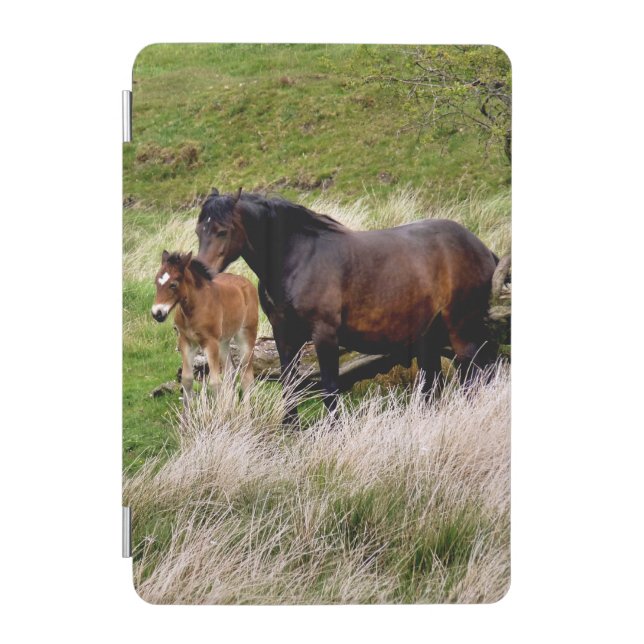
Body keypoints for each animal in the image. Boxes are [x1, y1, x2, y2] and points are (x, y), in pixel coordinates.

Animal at [151, 250, 259, 400]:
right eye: (156, 282)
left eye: (173, 284)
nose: (157, 313)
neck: (194, 309)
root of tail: (248, 283)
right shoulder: (186, 341)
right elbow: (187, 379)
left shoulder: (210, 342)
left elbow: (215, 383)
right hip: (223, 341)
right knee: (229, 372)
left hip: (246, 335)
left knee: (246, 377)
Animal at [194, 188, 500, 422]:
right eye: (199, 231)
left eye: (222, 231)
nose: (202, 271)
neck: (299, 258)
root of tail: (482, 249)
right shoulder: (284, 335)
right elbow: (289, 384)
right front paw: (290, 428)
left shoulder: (324, 334)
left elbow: (330, 387)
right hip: (432, 336)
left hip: (462, 333)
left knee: (474, 376)